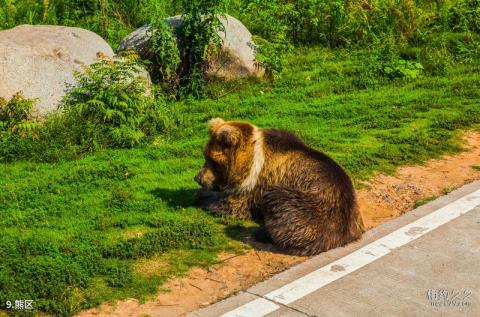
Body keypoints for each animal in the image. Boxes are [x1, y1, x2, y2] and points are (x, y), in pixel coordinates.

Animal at [192, 117, 364, 256]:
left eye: (213, 161)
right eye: (205, 155)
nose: (198, 178)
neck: (249, 160)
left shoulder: (254, 184)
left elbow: (231, 205)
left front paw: (203, 197)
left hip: (313, 206)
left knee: (279, 203)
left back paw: (262, 233)